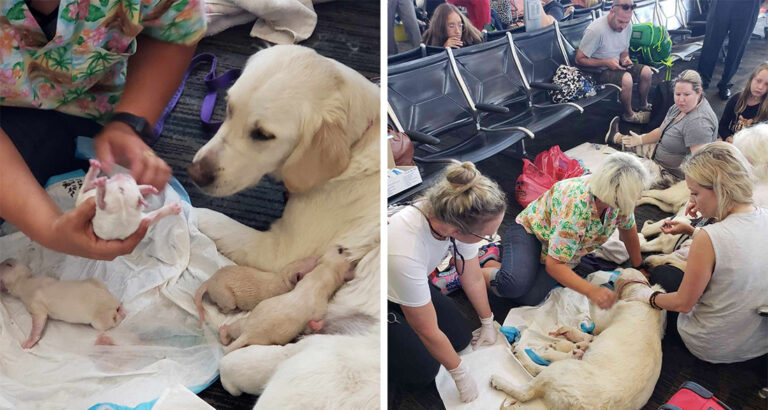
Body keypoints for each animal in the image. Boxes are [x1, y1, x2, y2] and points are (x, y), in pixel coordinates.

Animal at [186, 43, 378, 408]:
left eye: (263, 135)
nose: (195, 174)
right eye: (228, 108)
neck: (357, 146)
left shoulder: (278, 250)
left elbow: (210, 218)